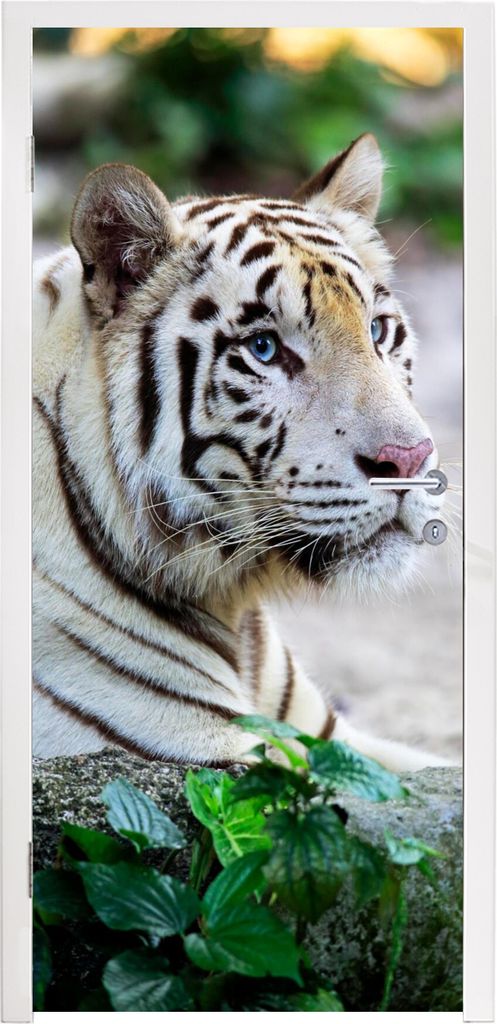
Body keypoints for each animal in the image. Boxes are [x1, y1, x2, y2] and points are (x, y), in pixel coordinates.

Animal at [33, 133, 448, 771]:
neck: (233, 600)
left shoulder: (333, 741)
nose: (408, 461)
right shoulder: (214, 759)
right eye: (265, 349)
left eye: (378, 331)